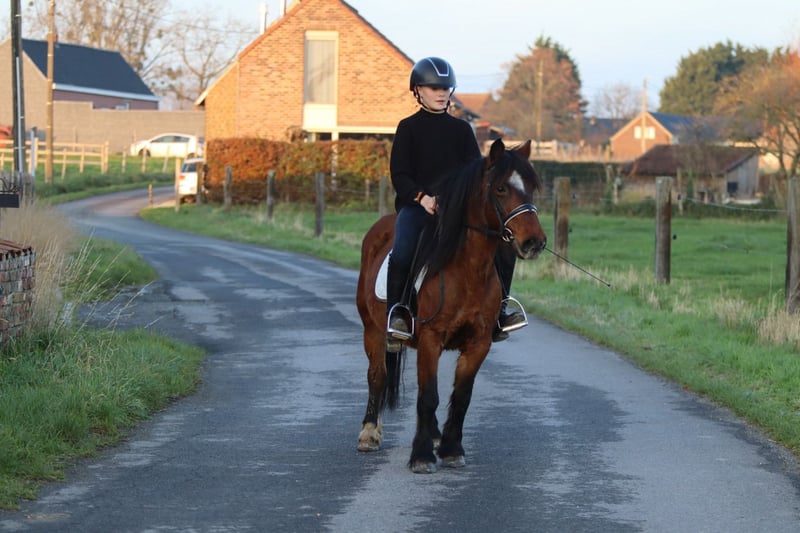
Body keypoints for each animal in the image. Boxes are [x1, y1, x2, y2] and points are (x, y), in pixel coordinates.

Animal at [355, 138, 547, 473]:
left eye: (531, 188)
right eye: (500, 189)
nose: (534, 242)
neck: (468, 269)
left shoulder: (478, 343)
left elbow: (461, 397)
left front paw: (451, 449)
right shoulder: (431, 338)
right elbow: (428, 395)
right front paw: (421, 456)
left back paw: (433, 435)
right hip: (373, 330)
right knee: (377, 375)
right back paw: (369, 433)